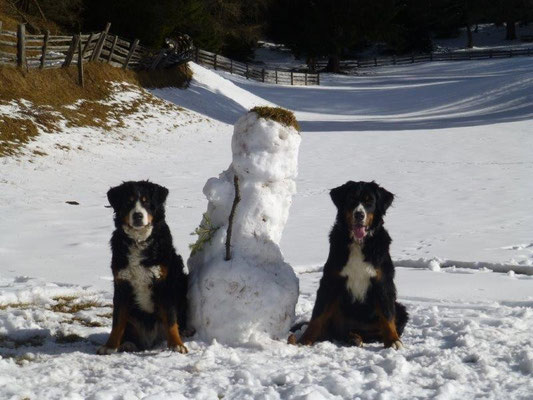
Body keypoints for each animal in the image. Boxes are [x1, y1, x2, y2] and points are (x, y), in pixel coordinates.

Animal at [97, 180, 189, 354]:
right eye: (128, 202)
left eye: (146, 202)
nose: (137, 215)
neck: (139, 241)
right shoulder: (122, 284)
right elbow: (117, 321)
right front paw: (110, 346)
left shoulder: (165, 284)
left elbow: (171, 318)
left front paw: (177, 344)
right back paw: (128, 344)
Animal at [286, 181, 408, 350]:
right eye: (351, 199)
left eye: (369, 201)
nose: (359, 214)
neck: (358, 243)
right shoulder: (330, 281)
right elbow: (317, 315)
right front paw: (305, 340)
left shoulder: (382, 282)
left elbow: (387, 315)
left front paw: (393, 340)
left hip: (400, 310)